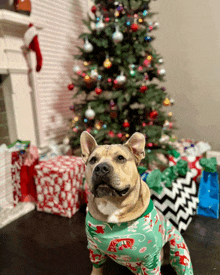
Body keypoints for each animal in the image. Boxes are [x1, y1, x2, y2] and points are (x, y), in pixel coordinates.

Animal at [80, 132, 192, 275]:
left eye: (120, 158)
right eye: (93, 160)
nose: (100, 168)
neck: (112, 203)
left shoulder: (151, 259)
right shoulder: (94, 248)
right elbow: (97, 266)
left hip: (177, 248)